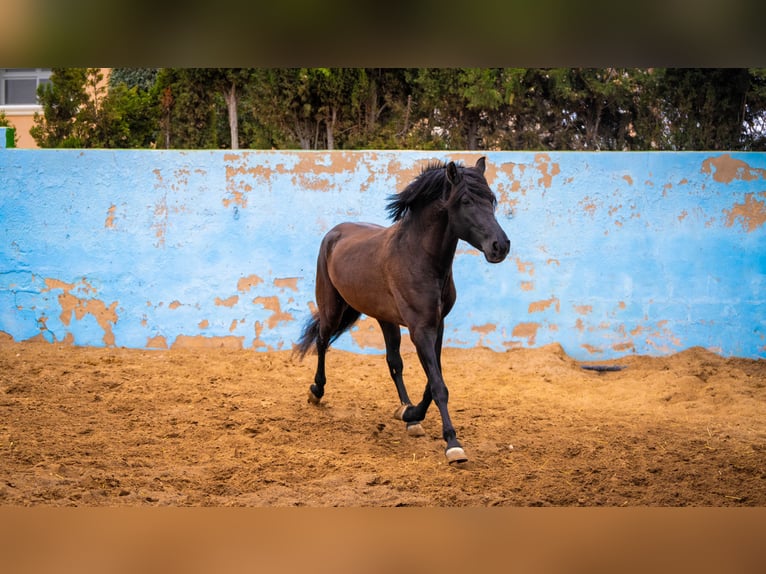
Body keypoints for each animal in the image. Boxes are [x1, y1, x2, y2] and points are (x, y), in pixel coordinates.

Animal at [296, 159, 512, 468]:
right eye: (467, 201)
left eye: (492, 200)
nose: (500, 246)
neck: (418, 258)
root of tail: (335, 232)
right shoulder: (420, 329)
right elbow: (438, 385)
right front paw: (453, 445)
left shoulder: (436, 325)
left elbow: (432, 380)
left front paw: (412, 414)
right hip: (332, 307)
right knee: (323, 340)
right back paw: (316, 391)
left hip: (385, 319)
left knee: (394, 362)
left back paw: (407, 413)